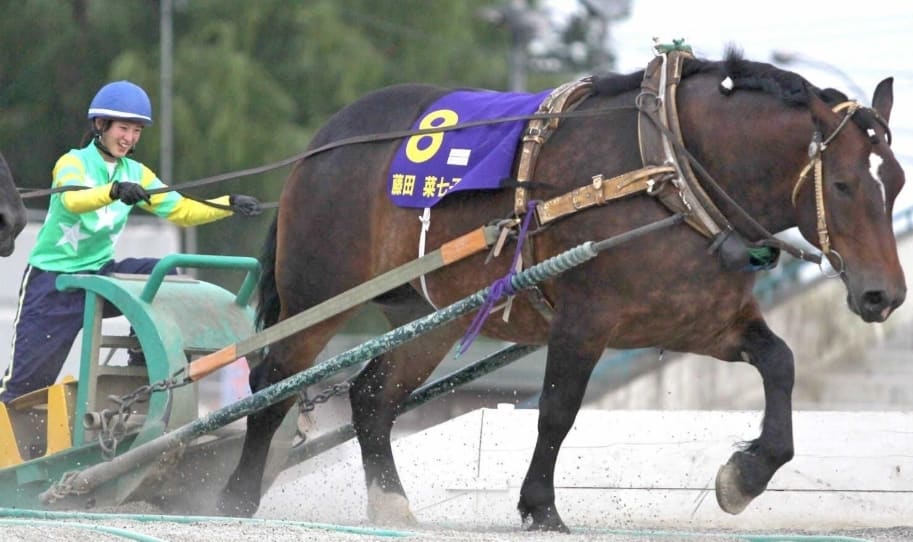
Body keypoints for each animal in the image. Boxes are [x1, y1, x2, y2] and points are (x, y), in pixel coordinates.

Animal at [219, 49, 904, 532]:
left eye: (895, 183)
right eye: (843, 185)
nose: (885, 296)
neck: (671, 168)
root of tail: (322, 144)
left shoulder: (703, 321)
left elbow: (781, 364)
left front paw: (747, 474)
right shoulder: (584, 319)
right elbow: (557, 410)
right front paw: (540, 507)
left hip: (433, 314)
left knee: (369, 399)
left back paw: (389, 504)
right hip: (319, 292)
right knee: (272, 384)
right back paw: (234, 495)